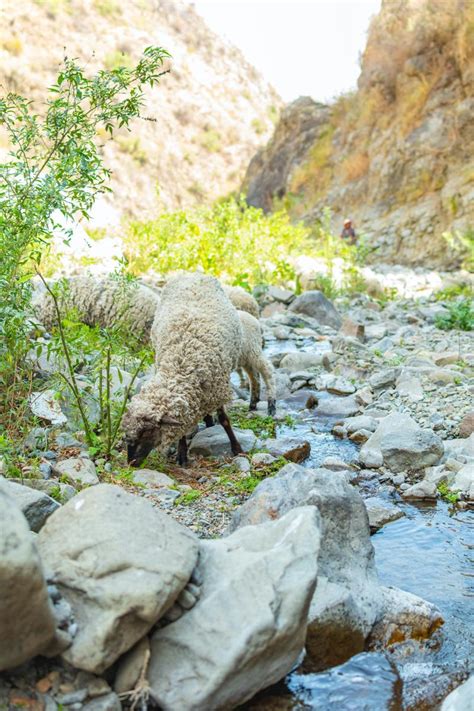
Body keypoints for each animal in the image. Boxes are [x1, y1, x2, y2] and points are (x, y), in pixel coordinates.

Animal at [122, 272, 244, 468]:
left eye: (147, 431)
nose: (131, 463)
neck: (181, 364)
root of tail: (192, 274)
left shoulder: (219, 387)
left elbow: (225, 420)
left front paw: (237, 448)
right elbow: (181, 428)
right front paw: (181, 453)